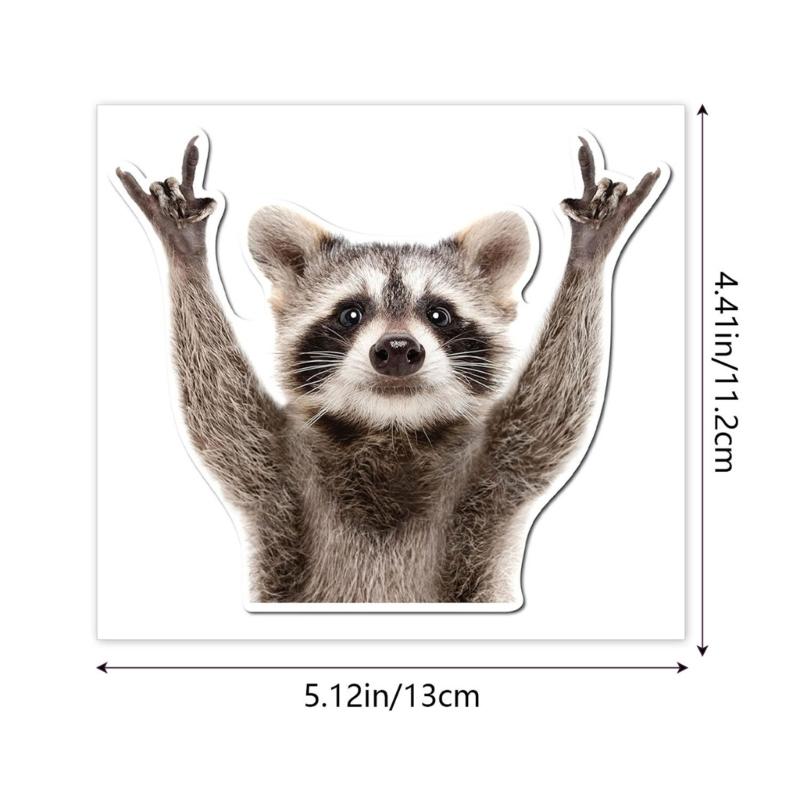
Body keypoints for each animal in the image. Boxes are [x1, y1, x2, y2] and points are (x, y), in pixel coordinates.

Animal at [116, 134, 664, 604]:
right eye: (350, 314)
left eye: (438, 314)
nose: (398, 349)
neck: (390, 428)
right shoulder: (277, 472)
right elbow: (218, 411)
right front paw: (186, 254)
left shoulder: (495, 472)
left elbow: (552, 411)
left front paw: (587, 255)